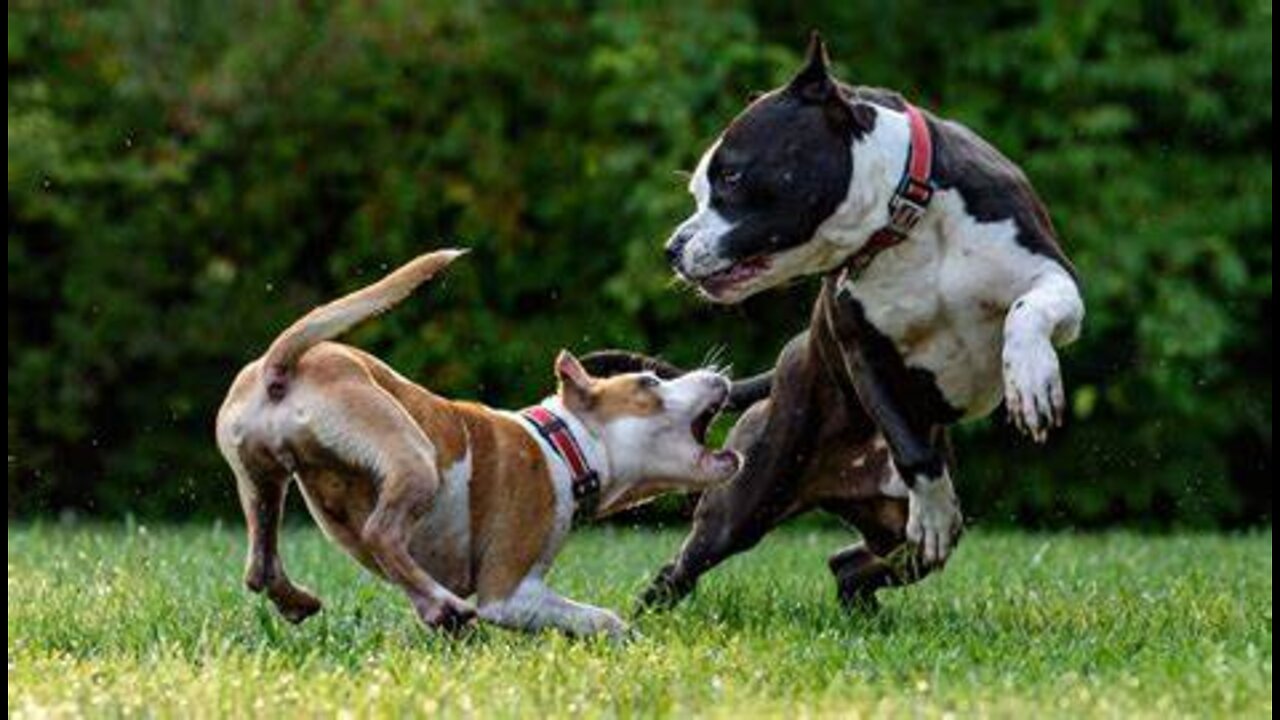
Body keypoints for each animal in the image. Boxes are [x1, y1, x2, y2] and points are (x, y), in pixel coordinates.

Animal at [216, 248, 742, 632]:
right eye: (649, 384)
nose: (719, 376)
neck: (564, 444)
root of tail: (280, 365)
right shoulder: (510, 593)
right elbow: (604, 620)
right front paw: (630, 640)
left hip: (262, 480)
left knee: (261, 566)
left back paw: (306, 602)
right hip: (413, 456)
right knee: (380, 532)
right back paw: (443, 605)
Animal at [586, 32, 1085, 604]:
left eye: (731, 175)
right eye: (698, 191)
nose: (672, 248)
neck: (903, 220)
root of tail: (788, 358)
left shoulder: (1054, 277)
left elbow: (1028, 311)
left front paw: (1031, 379)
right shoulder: (862, 351)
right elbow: (911, 449)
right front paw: (935, 508)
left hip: (890, 531)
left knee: (853, 563)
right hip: (745, 501)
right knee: (685, 566)